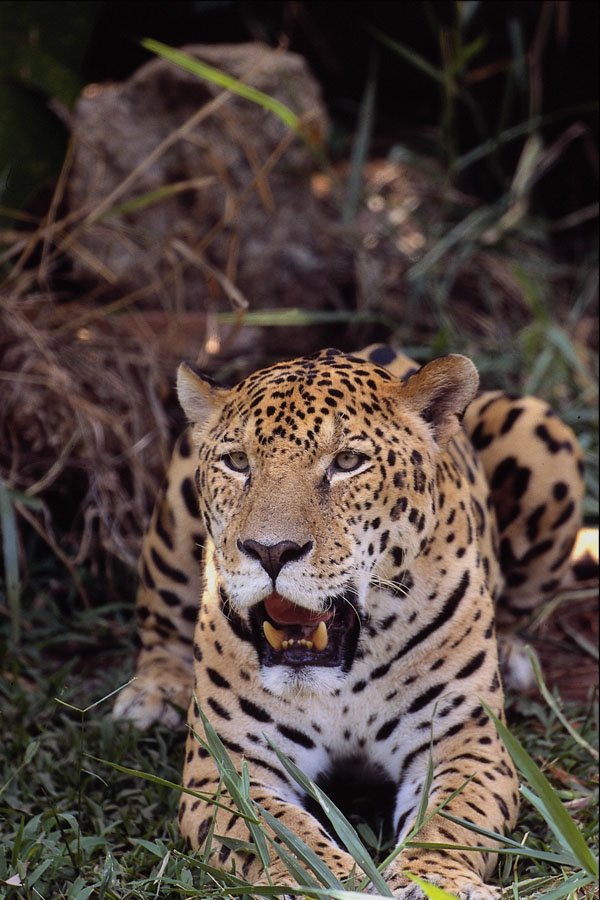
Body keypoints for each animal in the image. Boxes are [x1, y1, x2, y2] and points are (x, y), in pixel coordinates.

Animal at [113, 344, 591, 898]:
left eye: (346, 462)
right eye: (237, 462)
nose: (270, 551)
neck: (341, 677)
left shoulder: (465, 742)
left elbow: (448, 821)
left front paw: (434, 879)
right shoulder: (228, 761)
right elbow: (277, 833)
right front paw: (327, 880)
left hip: (539, 428)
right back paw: (153, 693)